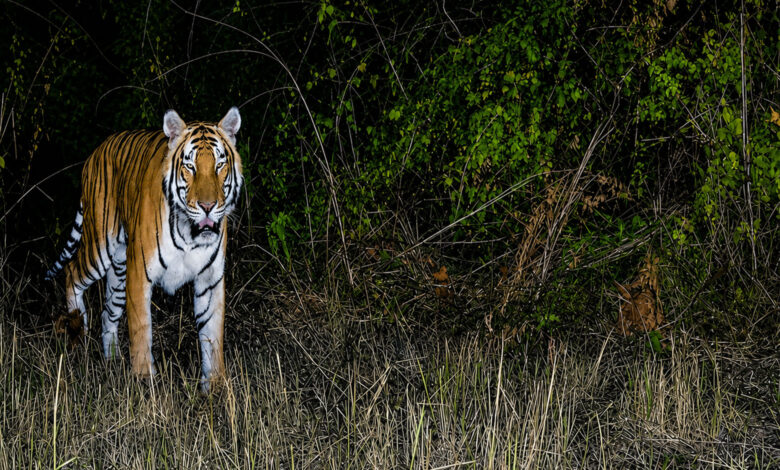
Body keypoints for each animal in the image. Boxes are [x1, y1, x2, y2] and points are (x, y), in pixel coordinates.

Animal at [45, 107, 243, 392]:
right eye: (190, 166)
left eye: (219, 165)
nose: (207, 206)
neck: (190, 234)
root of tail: (96, 151)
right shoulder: (140, 274)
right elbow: (141, 330)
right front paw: (144, 382)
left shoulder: (210, 279)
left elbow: (212, 333)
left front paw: (215, 386)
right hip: (100, 247)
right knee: (72, 271)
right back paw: (77, 327)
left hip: (119, 270)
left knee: (107, 313)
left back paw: (112, 361)